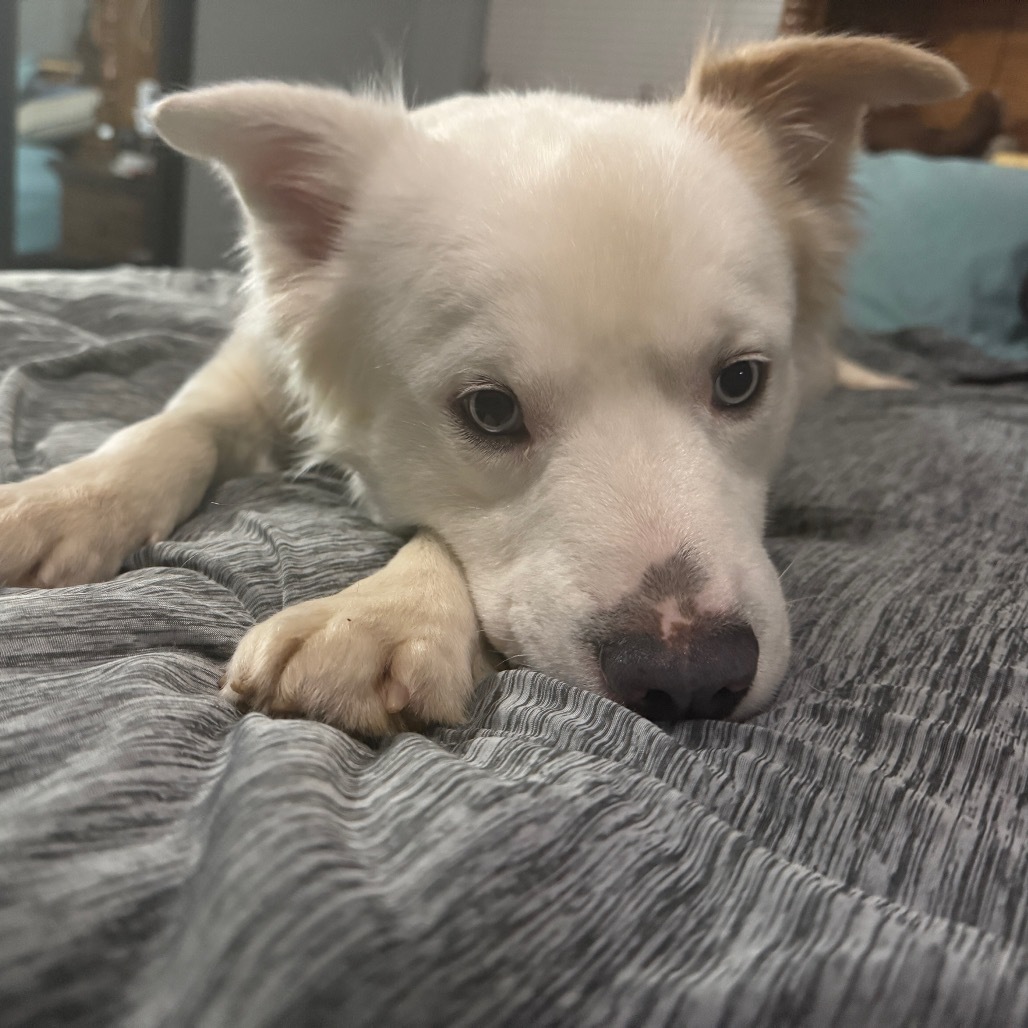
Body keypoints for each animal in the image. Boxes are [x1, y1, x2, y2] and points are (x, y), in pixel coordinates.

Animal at [0, 36, 962, 736]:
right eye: (491, 411)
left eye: (740, 383)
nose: (691, 678)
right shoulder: (251, 364)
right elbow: (175, 425)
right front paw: (63, 499)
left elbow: (432, 538)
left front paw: (376, 617)